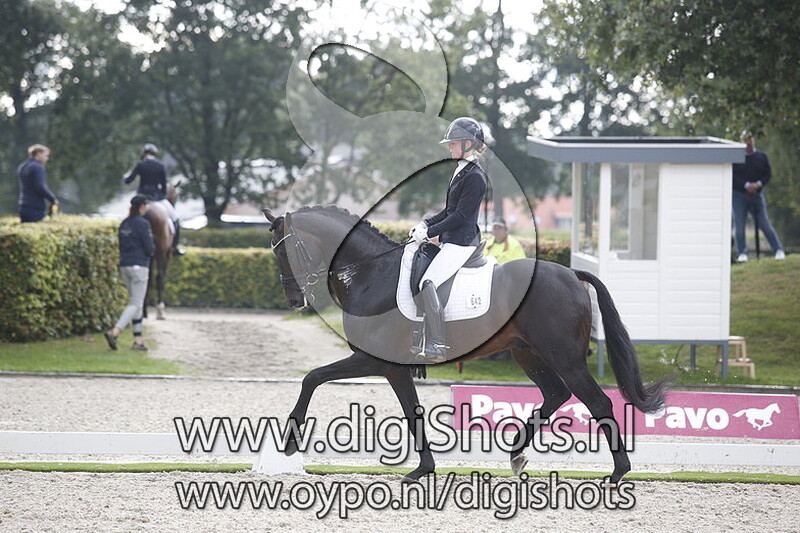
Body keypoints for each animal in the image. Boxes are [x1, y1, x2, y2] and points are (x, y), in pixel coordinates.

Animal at [262, 205, 666, 484]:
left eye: (284, 252)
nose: (294, 300)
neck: (371, 272)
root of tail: (571, 273)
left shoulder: (375, 361)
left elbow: (312, 377)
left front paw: (289, 443)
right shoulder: (392, 368)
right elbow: (413, 412)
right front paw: (423, 469)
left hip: (564, 357)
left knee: (597, 402)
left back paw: (617, 473)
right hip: (528, 353)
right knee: (556, 394)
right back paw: (517, 455)